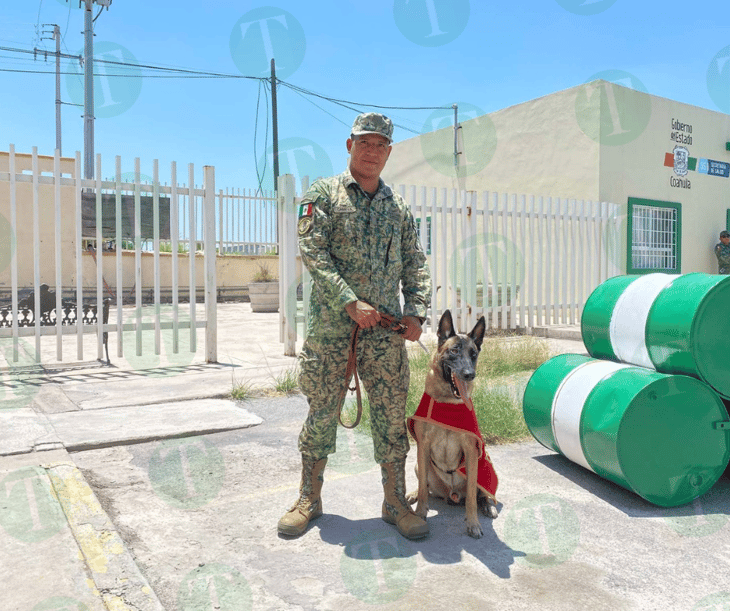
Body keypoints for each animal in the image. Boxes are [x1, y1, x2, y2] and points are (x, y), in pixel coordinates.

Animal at [406, 310, 498, 540]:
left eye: (473, 354)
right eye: (454, 351)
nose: (469, 374)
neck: (448, 402)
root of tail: (452, 495)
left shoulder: (472, 451)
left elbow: (472, 498)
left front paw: (473, 523)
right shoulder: (423, 446)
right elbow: (423, 489)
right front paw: (420, 512)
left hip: (482, 466)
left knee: (481, 495)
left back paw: (488, 506)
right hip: (418, 465)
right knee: (425, 486)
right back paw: (413, 494)